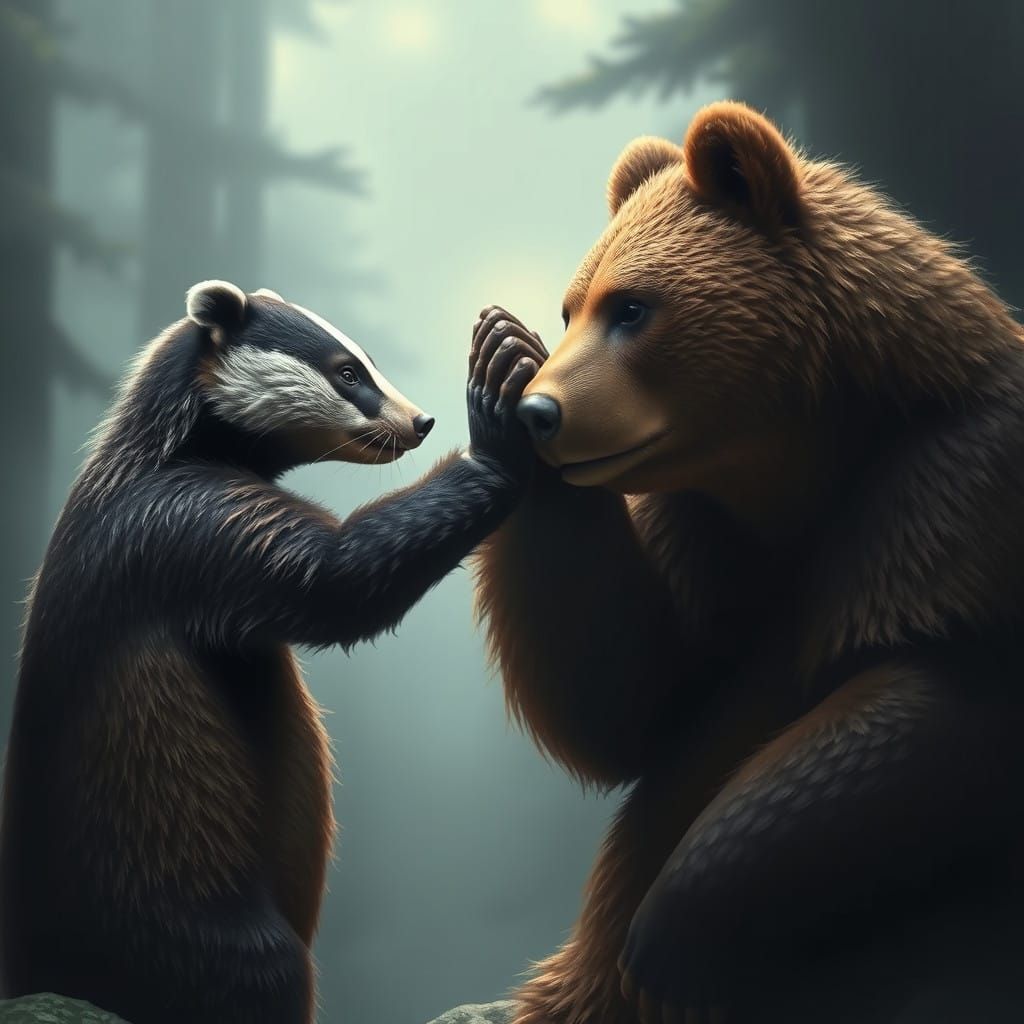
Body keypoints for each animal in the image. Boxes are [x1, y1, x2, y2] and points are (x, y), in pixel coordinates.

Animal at [469, 102, 1024, 1023]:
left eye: (632, 307)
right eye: (571, 305)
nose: (544, 413)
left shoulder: (949, 496)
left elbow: (915, 697)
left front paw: (672, 938)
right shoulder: (707, 539)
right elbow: (632, 700)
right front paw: (500, 360)